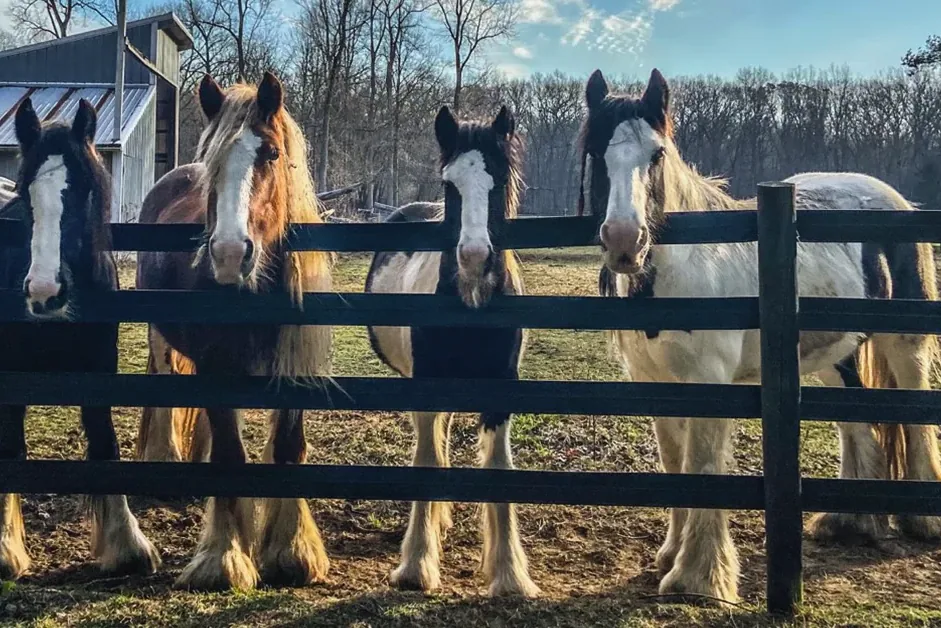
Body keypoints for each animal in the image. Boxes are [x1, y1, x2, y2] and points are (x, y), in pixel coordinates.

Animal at [0, 98, 161, 580]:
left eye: (85, 190)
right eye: (26, 194)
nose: (44, 292)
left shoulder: (99, 371)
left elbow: (105, 443)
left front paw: (128, 547)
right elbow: (10, 449)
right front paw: (7, 549)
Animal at [136, 71, 332, 591]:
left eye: (271, 153)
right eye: (213, 159)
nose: (227, 254)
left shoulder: (291, 370)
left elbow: (287, 448)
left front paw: (292, 551)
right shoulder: (216, 369)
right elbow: (230, 454)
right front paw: (223, 558)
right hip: (162, 339)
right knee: (164, 383)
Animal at [364, 105, 539, 597]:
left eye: (498, 180)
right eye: (449, 183)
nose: (475, 258)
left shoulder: (501, 394)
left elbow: (498, 469)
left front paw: (509, 574)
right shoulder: (425, 386)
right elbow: (427, 461)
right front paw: (416, 566)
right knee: (433, 444)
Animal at [579, 68, 941, 602]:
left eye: (656, 154)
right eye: (595, 152)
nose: (625, 242)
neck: (685, 268)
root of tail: (892, 199)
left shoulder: (708, 384)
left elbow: (703, 466)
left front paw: (697, 577)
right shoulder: (656, 384)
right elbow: (674, 463)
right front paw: (671, 555)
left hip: (905, 345)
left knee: (914, 412)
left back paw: (919, 519)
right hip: (836, 354)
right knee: (856, 424)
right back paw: (848, 520)